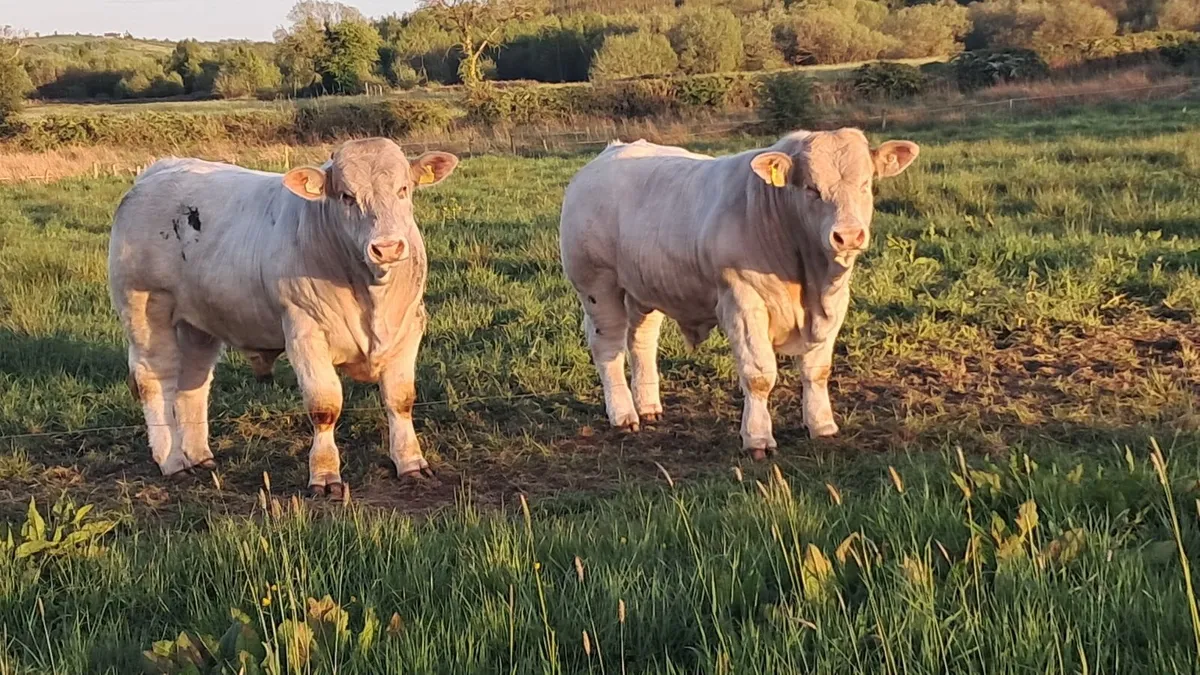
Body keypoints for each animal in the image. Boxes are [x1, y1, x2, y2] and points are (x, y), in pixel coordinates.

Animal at [108, 138, 458, 498]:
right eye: (346, 196)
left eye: (404, 189)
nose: (387, 248)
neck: (371, 293)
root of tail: (160, 169)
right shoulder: (305, 333)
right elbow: (324, 406)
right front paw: (325, 475)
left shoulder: (410, 327)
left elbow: (400, 399)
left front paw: (410, 462)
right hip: (145, 308)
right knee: (155, 379)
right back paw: (172, 460)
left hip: (199, 323)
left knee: (193, 382)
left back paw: (199, 455)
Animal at [559, 129, 919, 458]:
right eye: (811, 188)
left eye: (866, 184)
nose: (848, 236)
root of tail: (611, 152)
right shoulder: (744, 302)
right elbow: (758, 375)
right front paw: (757, 438)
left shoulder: (835, 303)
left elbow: (817, 370)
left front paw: (822, 425)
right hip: (597, 285)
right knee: (608, 346)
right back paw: (623, 414)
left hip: (645, 286)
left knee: (641, 340)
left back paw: (648, 406)